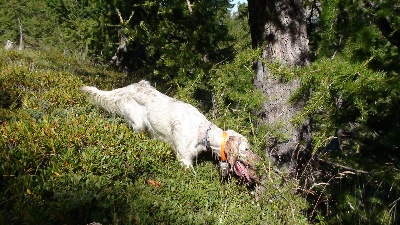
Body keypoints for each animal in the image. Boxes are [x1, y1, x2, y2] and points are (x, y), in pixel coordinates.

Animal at [81, 80, 260, 182]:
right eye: (246, 149)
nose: (259, 162)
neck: (202, 132)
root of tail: (127, 87)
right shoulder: (184, 160)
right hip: (138, 123)